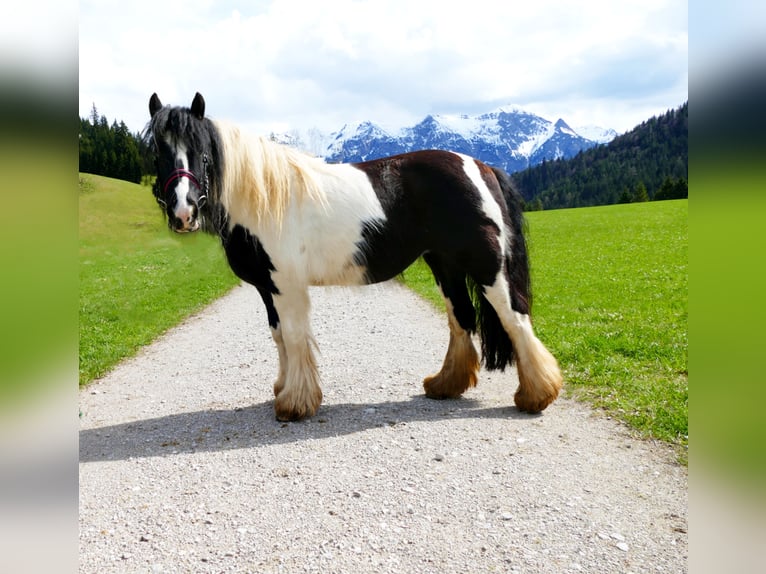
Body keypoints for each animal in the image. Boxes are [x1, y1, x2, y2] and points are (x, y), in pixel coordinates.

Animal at [146, 92, 564, 420]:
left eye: (201, 152)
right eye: (158, 152)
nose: (183, 212)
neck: (264, 197)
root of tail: (480, 166)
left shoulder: (286, 285)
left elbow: (294, 337)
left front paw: (295, 404)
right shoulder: (267, 288)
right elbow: (279, 336)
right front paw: (283, 388)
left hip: (487, 267)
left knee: (515, 319)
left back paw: (536, 395)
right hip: (445, 265)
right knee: (461, 318)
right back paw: (445, 385)